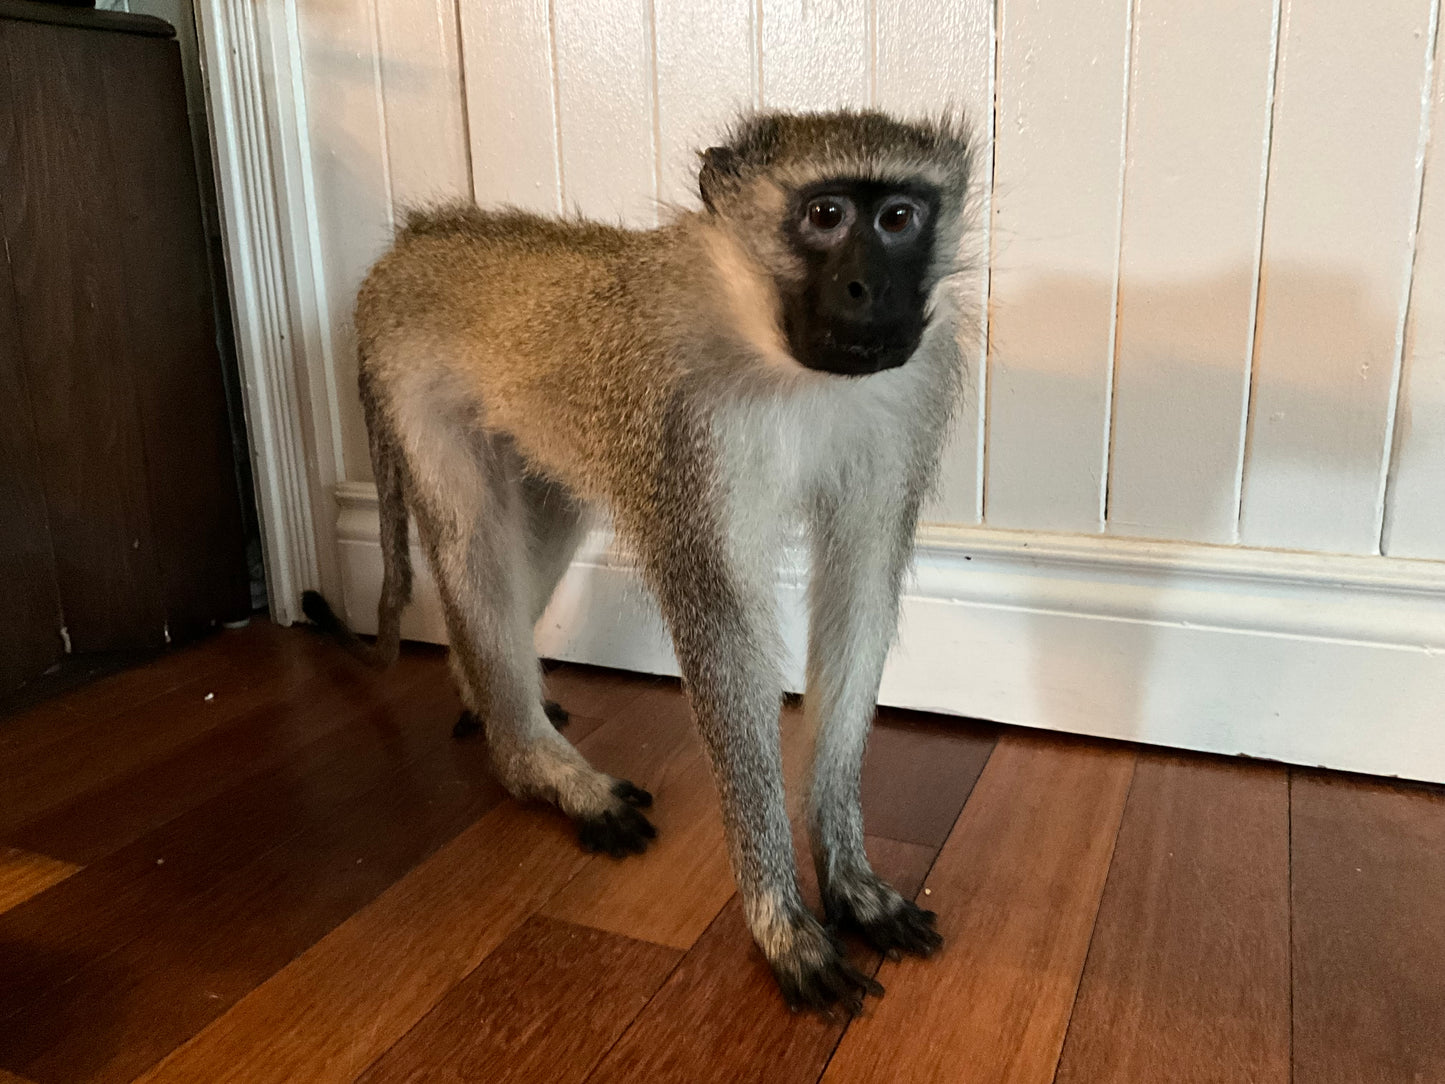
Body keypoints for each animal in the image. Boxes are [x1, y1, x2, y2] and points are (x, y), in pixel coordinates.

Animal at [301, 109, 975, 1013]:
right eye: (826, 215)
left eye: (899, 217)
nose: (872, 290)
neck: (769, 347)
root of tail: (417, 238)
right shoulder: (685, 433)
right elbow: (722, 629)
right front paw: (779, 920)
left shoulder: (903, 409)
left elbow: (861, 594)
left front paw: (847, 873)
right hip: (412, 386)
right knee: (474, 540)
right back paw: (533, 766)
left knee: (541, 528)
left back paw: (483, 696)